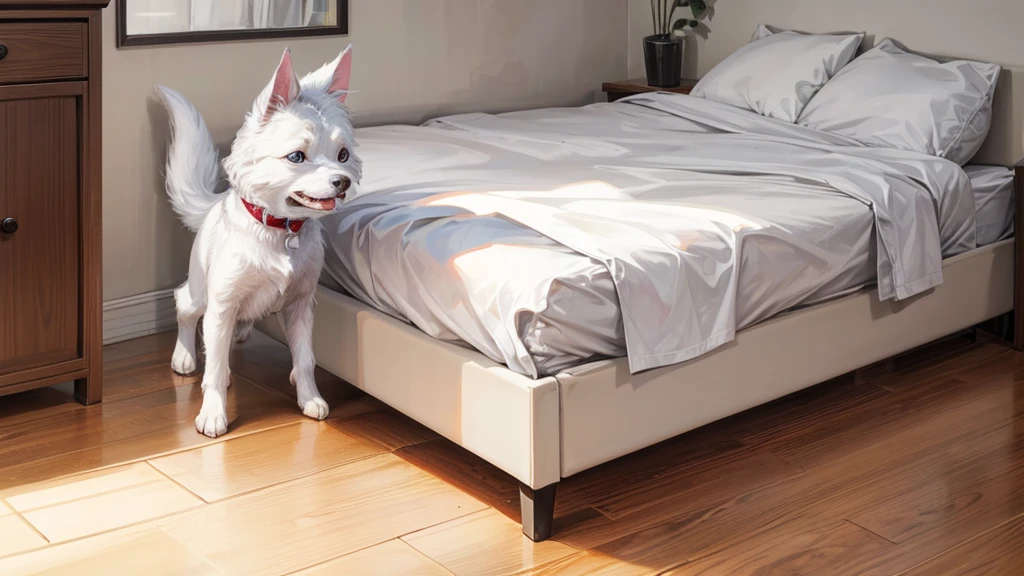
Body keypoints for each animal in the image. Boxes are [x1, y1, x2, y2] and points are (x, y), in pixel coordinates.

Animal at [153, 47, 358, 436]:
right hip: (201, 293)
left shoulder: (301, 305)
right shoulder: (222, 303)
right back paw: (184, 357)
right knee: (185, 306)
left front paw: (310, 398)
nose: (343, 181)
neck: (280, 231)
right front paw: (212, 415)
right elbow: (215, 369)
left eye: (343, 155)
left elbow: (305, 358)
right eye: (296, 157)